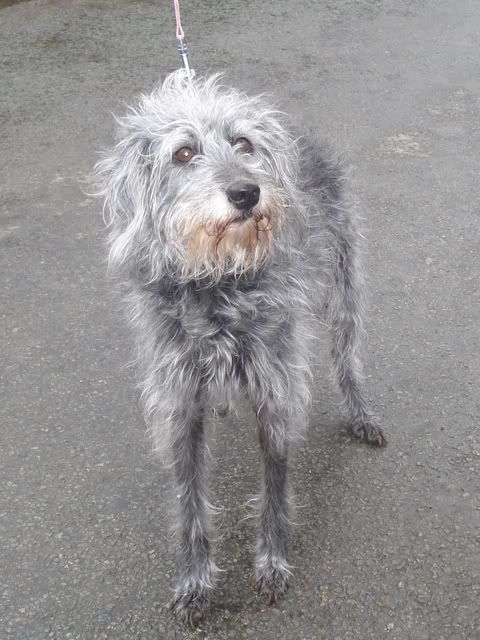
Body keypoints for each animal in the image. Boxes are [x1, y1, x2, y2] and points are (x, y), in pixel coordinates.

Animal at [94, 72, 386, 628]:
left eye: (244, 144)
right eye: (183, 153)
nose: (247, 192)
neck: (217, 283)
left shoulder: (276, 391)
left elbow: (274, 489)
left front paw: (271, 563)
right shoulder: (179, 406)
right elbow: (190, 503)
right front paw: (195, 582)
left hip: (343, 288)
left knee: (348, 357)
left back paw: (362, 414)